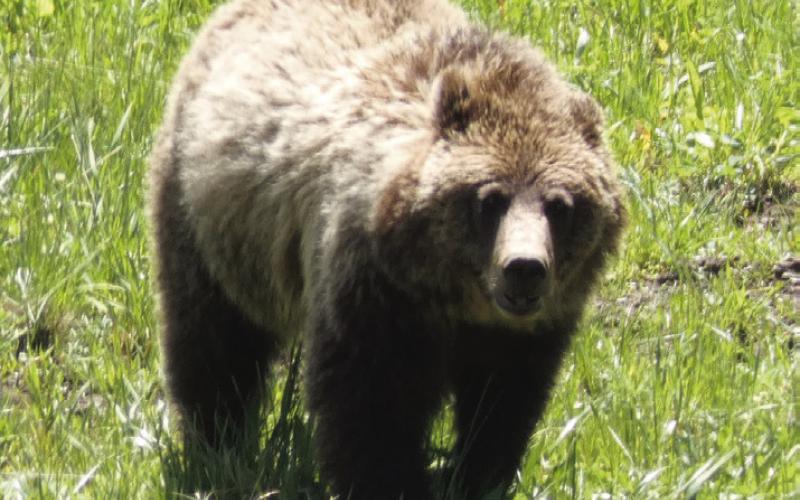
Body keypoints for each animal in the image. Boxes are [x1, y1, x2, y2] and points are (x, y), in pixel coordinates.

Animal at [148, 0, 626, 498]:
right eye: (489, 199)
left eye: (561, 205)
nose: (525, 267)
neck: (453, 296)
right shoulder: (372, 288)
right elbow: (369, 407)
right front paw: (398, 481)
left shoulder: (524, 332)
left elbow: (504, 401)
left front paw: (478, 474)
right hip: (212, 221)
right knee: (211, 338)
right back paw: (215, 446)